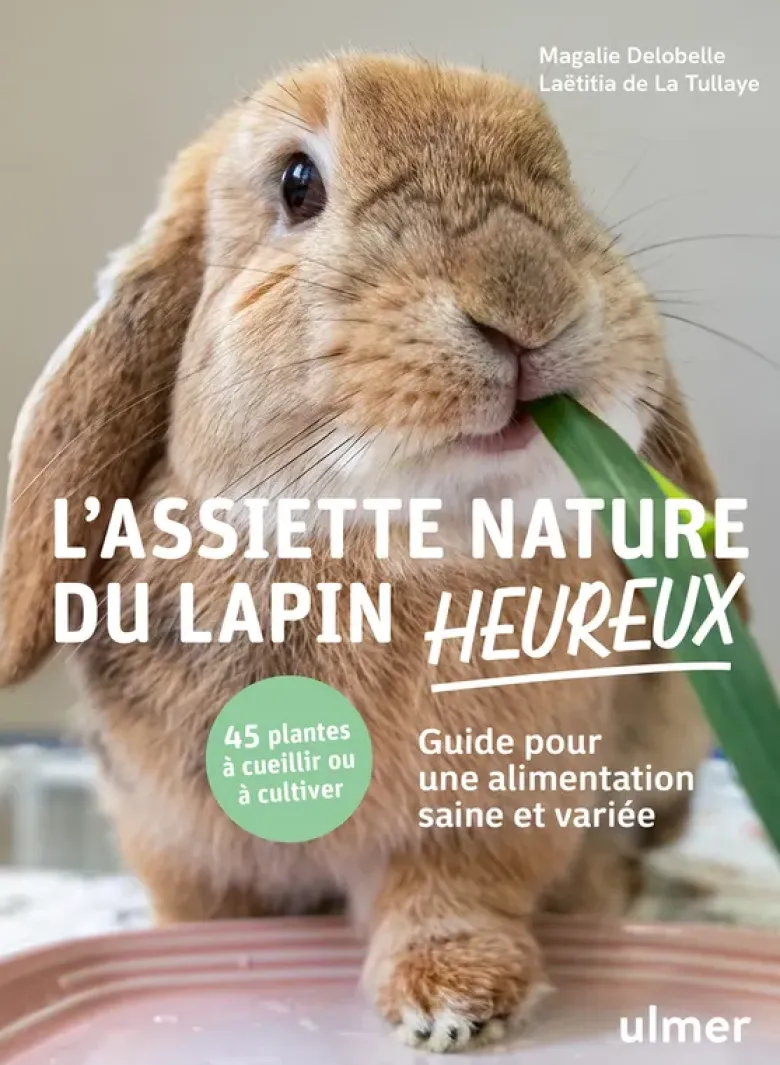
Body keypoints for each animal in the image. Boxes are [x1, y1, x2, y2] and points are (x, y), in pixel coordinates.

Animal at [0, 53, 747, 1053]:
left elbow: (452, 898)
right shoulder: (176, 842)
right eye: (297, 183)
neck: (382, 550)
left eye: (562, 168)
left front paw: (457, 1003)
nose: (527, 299)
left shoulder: (485, 820)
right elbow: (202, 914)